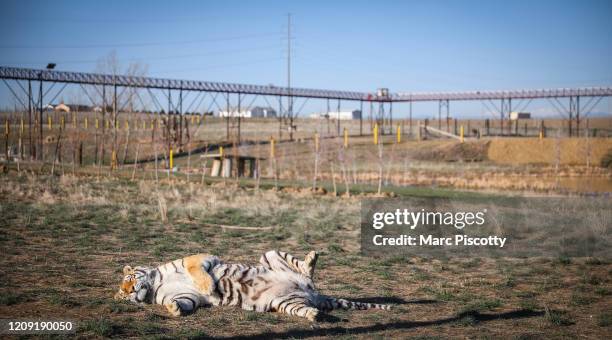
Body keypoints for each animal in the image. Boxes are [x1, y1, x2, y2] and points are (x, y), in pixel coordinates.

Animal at [115, 248, 392, 320]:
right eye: (123, 294)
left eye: (129, 280)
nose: (130, 292)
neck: (155, 286)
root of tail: (314, 295)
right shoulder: (186, 296)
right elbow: (182, 302)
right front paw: (173, 309)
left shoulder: (198, 258)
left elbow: (198, 272)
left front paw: (210, 288)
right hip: (286, 302)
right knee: (305, 308)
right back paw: (314, 315)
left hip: (271, 254)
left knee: (306, 269)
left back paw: (312, 257)